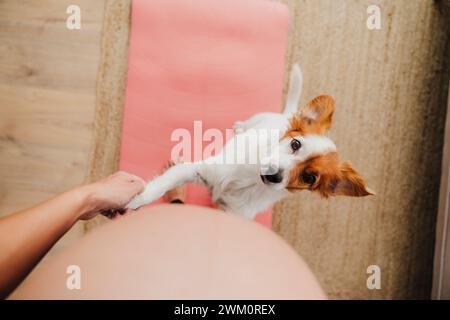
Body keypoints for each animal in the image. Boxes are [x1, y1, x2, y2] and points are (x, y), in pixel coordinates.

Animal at [126, 65, 372, 220]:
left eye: (309, 177)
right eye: (295, 144)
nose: (274, 175)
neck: (249, 180)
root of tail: (287, 114)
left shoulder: (234, 214)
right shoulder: (197, 169)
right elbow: (160, 185)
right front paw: (138, 199)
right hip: (257, 117)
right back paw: (239, 126)